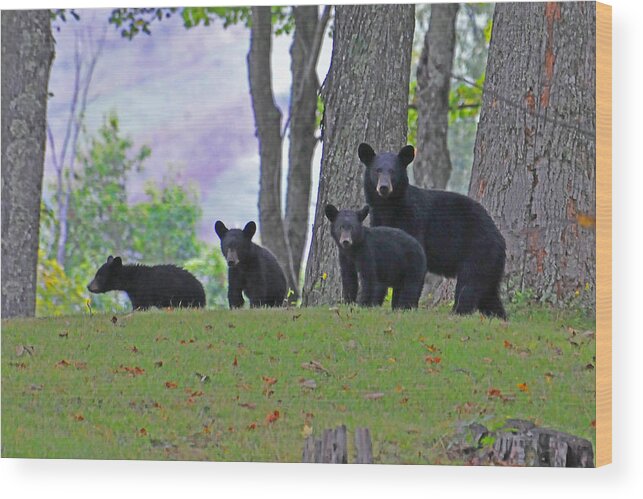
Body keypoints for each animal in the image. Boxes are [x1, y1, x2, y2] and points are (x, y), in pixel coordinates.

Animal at [360, 142, 506, 320]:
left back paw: (458, 313)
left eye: (393, 171)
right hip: (490, 263)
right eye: (377, 170)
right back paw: (499, 317)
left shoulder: (413, 222)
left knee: (469, 285)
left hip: (479, 252)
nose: (384, 187)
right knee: (489, 295)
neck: (388, 208)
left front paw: (404, 307)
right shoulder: (378, 225)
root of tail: (501, 240)